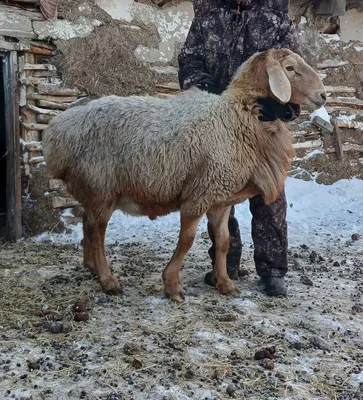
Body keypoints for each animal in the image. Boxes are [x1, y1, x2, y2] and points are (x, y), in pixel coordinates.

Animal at [42, 48, 328, 302]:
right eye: (290, 68)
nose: (324, 95)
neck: (237, 118)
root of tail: (57, 131)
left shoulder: (220, 197)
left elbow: (224, 241)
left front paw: (224, 283)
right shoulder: (199, 194)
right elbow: (187, 240)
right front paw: (172, 285)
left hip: (94, 188)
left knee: (86, 221)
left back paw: (90, 266)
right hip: (101, 185)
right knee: (96, 230)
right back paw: (107, 280)